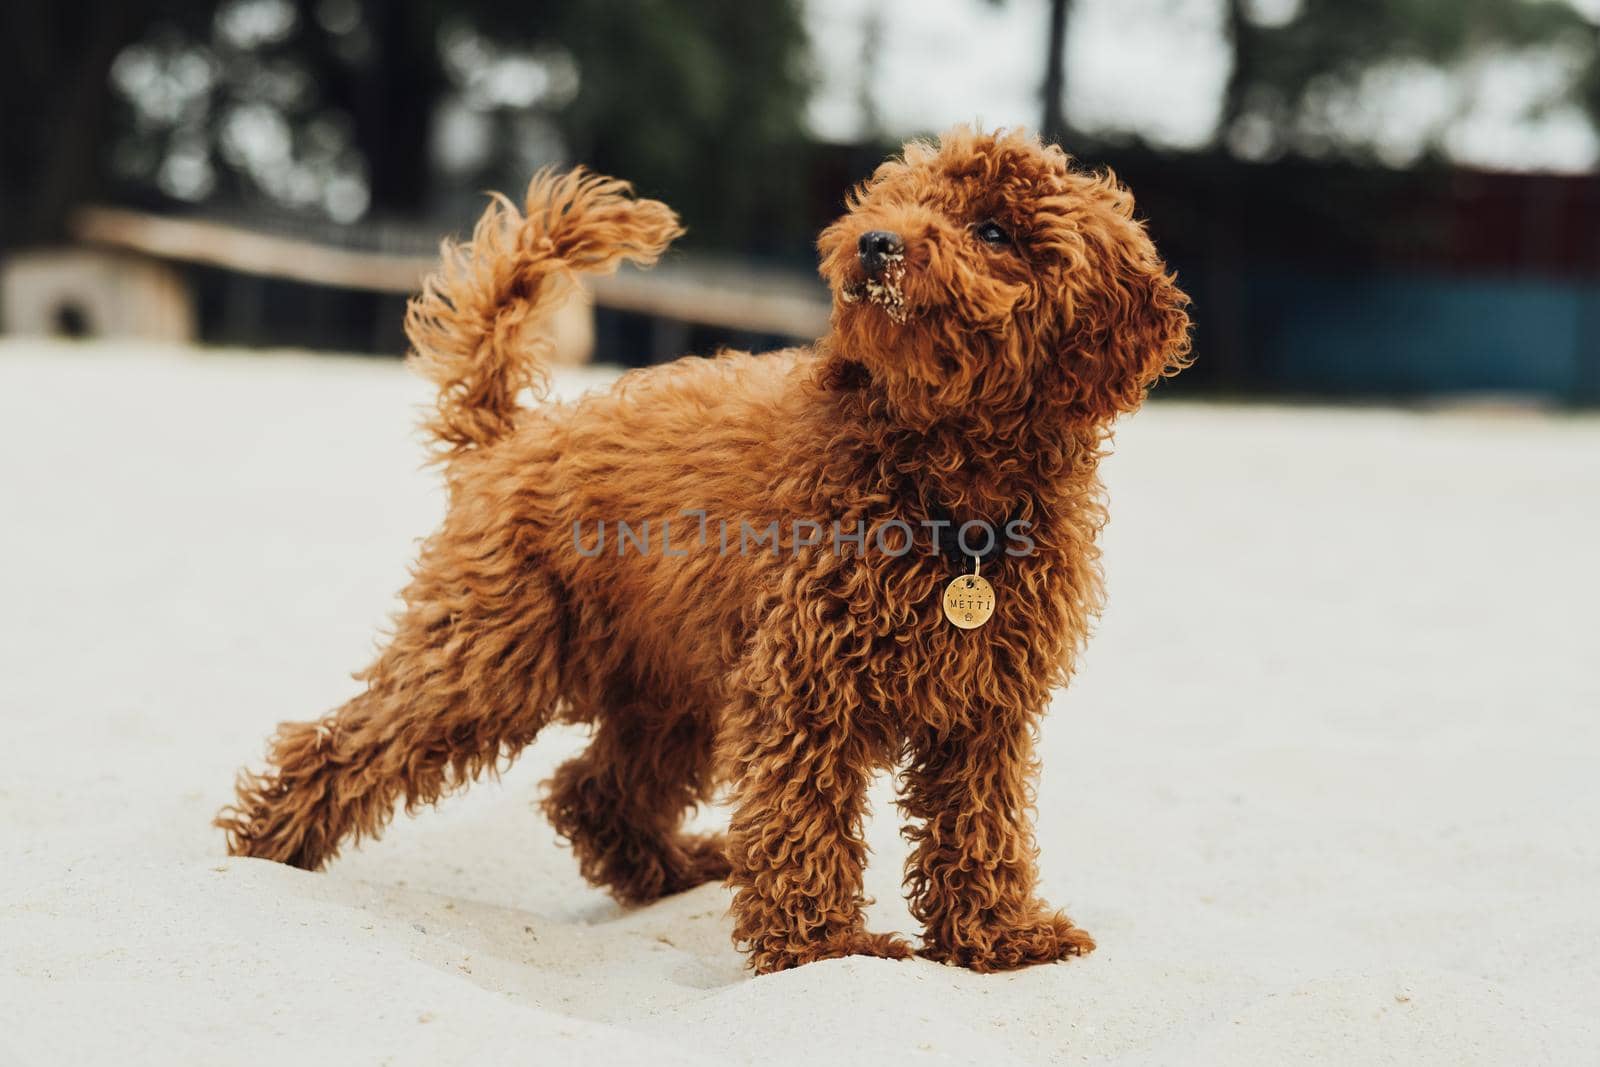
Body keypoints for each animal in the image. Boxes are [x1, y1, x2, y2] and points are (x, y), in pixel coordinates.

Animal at [216, 127, 1190, 979]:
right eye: (896, 199)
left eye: (993, 228)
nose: (874, 243)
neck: (947, 489)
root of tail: (514, 436)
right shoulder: (806, 680)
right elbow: (804, 816)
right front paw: (825, 949)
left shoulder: (984, 704)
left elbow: (978, 825)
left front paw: (998, 936)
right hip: (490, 657)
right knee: (344, 743)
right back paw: (262, 856)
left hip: (671, 686)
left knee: (591, 790)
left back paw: (674, 870)